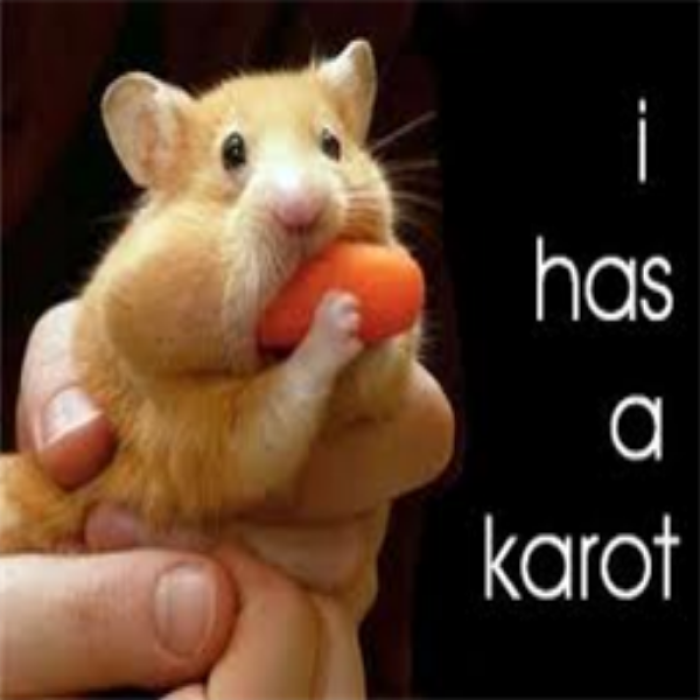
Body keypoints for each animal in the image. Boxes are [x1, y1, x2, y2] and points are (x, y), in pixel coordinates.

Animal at [0, 41, 422, 624]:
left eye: (332, 145)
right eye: (233, 151)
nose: (302, 211)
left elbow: (380, 365)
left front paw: (376, 319)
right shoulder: (197, 438)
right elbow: (281, 402)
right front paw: (338, 313)